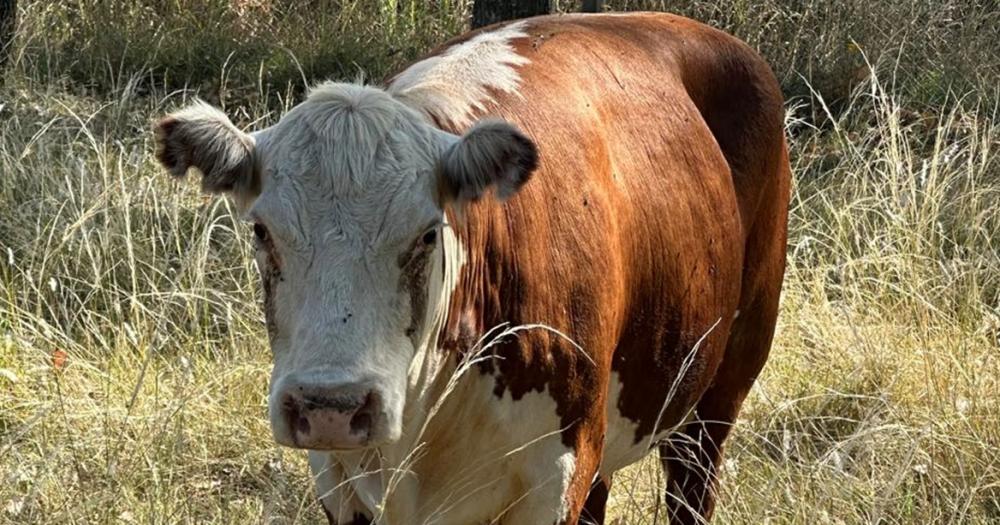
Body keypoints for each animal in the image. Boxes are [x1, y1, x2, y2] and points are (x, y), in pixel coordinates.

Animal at [152, 12, 788, 524]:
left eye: (428, 234)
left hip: (719, 391)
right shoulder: (338, 481)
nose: (330, 405)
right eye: (262, 231)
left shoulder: (557, 476)